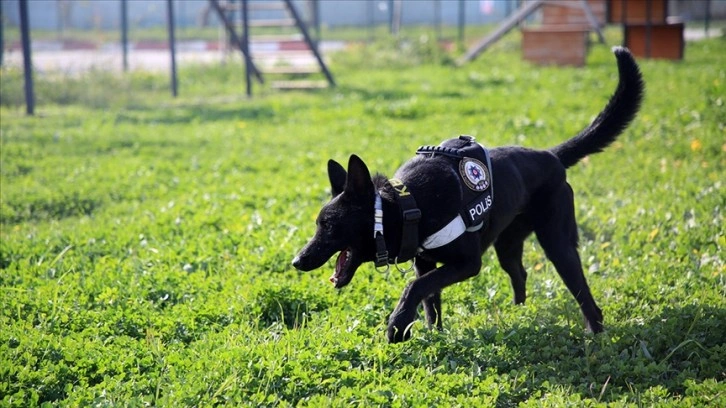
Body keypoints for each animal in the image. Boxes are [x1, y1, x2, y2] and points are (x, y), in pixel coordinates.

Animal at [292, 46, 644, 342]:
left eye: (328, 225)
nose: (297, 261)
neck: (408, 205)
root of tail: (551, 156)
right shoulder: (426, 262)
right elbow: (429, 300)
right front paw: (431, 334)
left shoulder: (467, 263)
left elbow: (415, 287)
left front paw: (397, 325)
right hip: (508, 244)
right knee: (520, 273)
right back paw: (519, 315)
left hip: (557, 243)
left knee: (582, 291)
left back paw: (595, 333)